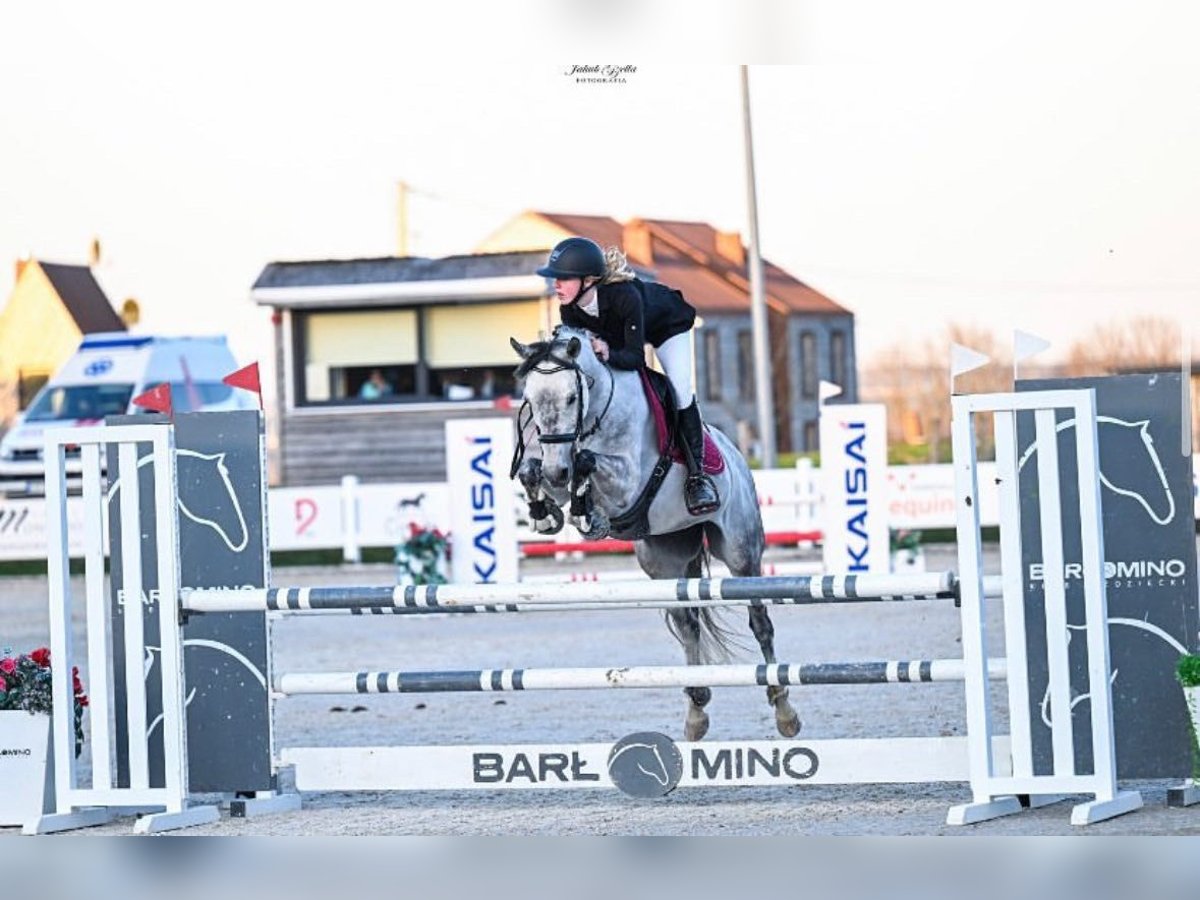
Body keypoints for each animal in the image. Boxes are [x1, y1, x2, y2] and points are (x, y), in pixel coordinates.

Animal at [511, 328, 801, 744]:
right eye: (531, 400)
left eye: (570, 397)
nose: (556, 472)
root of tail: (737, 456)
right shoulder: (556, 468)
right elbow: (533, 471)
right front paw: (545, 514)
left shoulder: (627, 480)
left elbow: (588, 462)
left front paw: (589, 513)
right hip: (664, 560)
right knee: (688, 624)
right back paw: (696, 711)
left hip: (741, 552)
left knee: (759, 621)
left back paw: (784, 709)